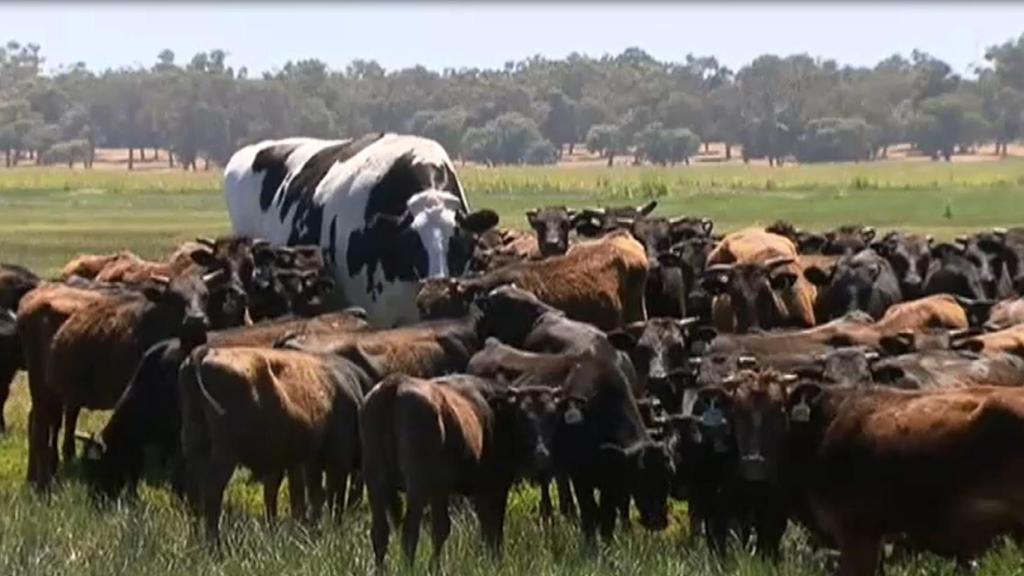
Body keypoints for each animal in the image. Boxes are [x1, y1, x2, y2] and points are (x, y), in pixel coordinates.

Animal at [180, 346, 373, 541]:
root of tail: (206, 352)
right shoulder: (336, 461)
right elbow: (333, 501)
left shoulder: (306, 463)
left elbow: (309, 497)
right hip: (224, 456)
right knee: (212, 495)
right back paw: (214, 543)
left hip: (195, 449)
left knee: (194, 498)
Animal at [362, 373, 562, 568]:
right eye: (523, 417)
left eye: (552, 417)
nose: (542, 453)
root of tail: (395, 383)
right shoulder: (494, 487)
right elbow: (492, 527)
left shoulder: (446, 491)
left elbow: (453, 528)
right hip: (416, 487)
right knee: (410, 531)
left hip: (375, 483)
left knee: (380, 533)